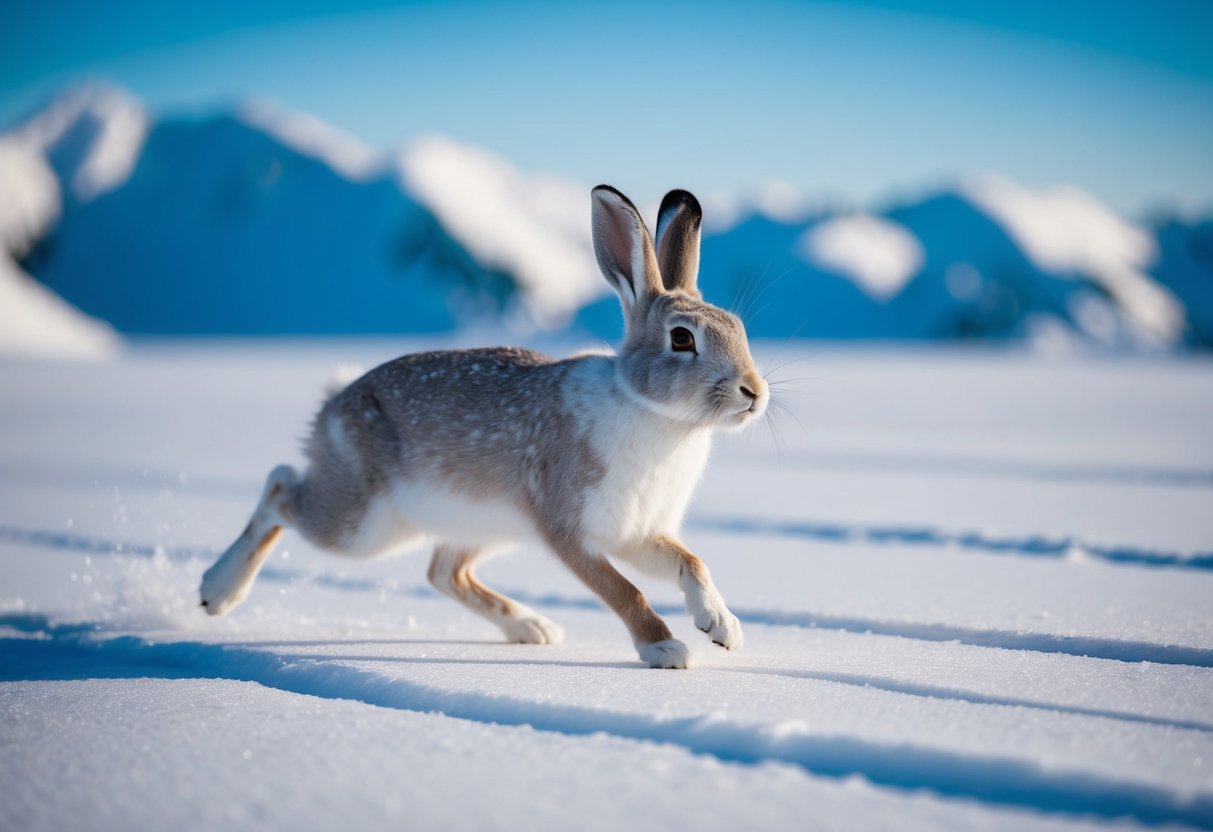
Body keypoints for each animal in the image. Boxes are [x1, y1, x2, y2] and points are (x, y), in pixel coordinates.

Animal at [200, 185, 768, 668]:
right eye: (681, 339)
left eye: (739, 329)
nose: (754, 393)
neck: (654, 414)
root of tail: (334, 404)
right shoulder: (567, 529)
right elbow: (623, 589)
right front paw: (665, 649)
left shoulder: (640, 532)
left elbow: (691, 562)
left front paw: (723, 627)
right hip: (364, 524)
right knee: (280, 489)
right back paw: (215, 591)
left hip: (481, 524)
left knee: (443, 571)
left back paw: (532, 628)